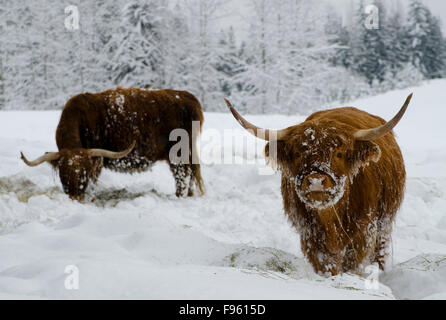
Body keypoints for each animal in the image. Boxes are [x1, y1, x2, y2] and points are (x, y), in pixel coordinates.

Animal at [19, 87, 204, 200]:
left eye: (84, 173)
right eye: (63, 174)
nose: (75, 197)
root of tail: (188, 97)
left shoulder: (96, 161)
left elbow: (94, 181)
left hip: (178, 154)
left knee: (182, 176)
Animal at [225, 94, 412, 276]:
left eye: (339, 154)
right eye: (298, 153)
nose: (316, 180)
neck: (330, 217)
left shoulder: (364, 230)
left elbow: (352, 262)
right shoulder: (309, 234)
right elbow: (325, 263)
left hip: (384, 221)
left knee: (380, 249)